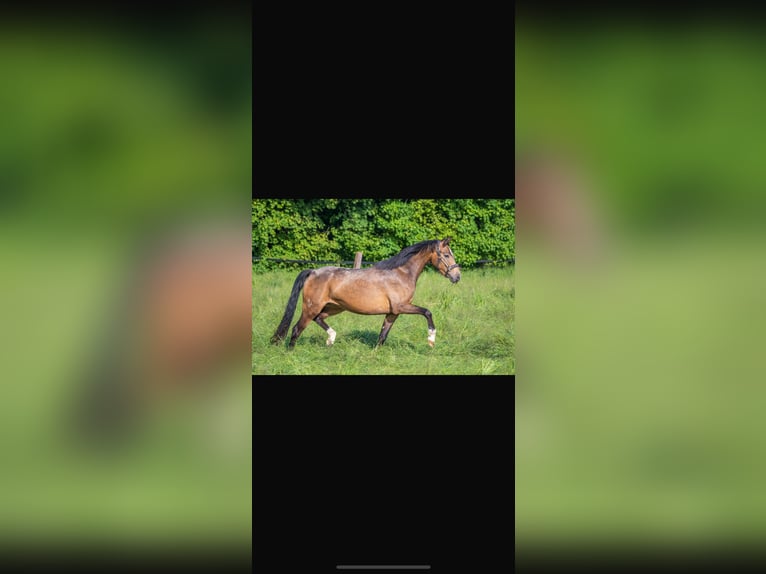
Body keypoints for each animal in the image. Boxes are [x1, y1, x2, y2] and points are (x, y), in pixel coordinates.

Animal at [270, 237, 461, 349]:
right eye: (446, 255)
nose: (457, 276)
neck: (401, 274)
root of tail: (313, 272)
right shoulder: (402, 306)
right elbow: (427, 312)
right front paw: (431, 339)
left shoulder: (393, 312)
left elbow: (382, 336)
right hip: (311, 307)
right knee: (296, 329)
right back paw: (291, 352)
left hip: (333, 307)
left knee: (318, 319)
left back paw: (331, 339)